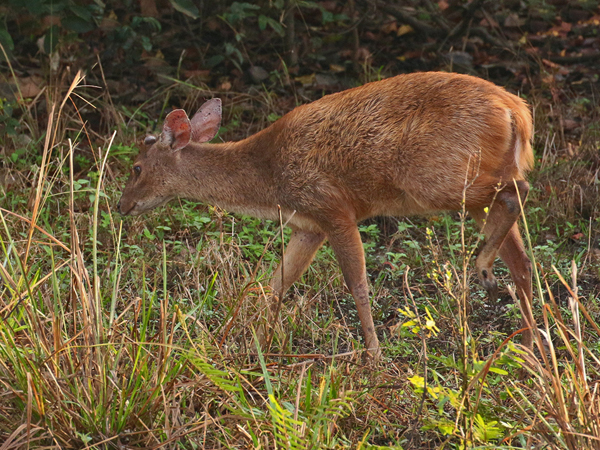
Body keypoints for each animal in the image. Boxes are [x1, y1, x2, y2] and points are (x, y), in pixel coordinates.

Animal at [117, 72, 536, 360]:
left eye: (136, 167)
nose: (121, 206)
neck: (269, 182)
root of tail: (516, 112)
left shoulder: (333, 208)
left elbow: (357, 284)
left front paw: (374, 356)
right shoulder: (308, 226)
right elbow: (277, 283)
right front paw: (249, 343)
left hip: (438, 178)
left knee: (517, 192)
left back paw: (485, 270)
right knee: (522, 260)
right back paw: (527, 346)